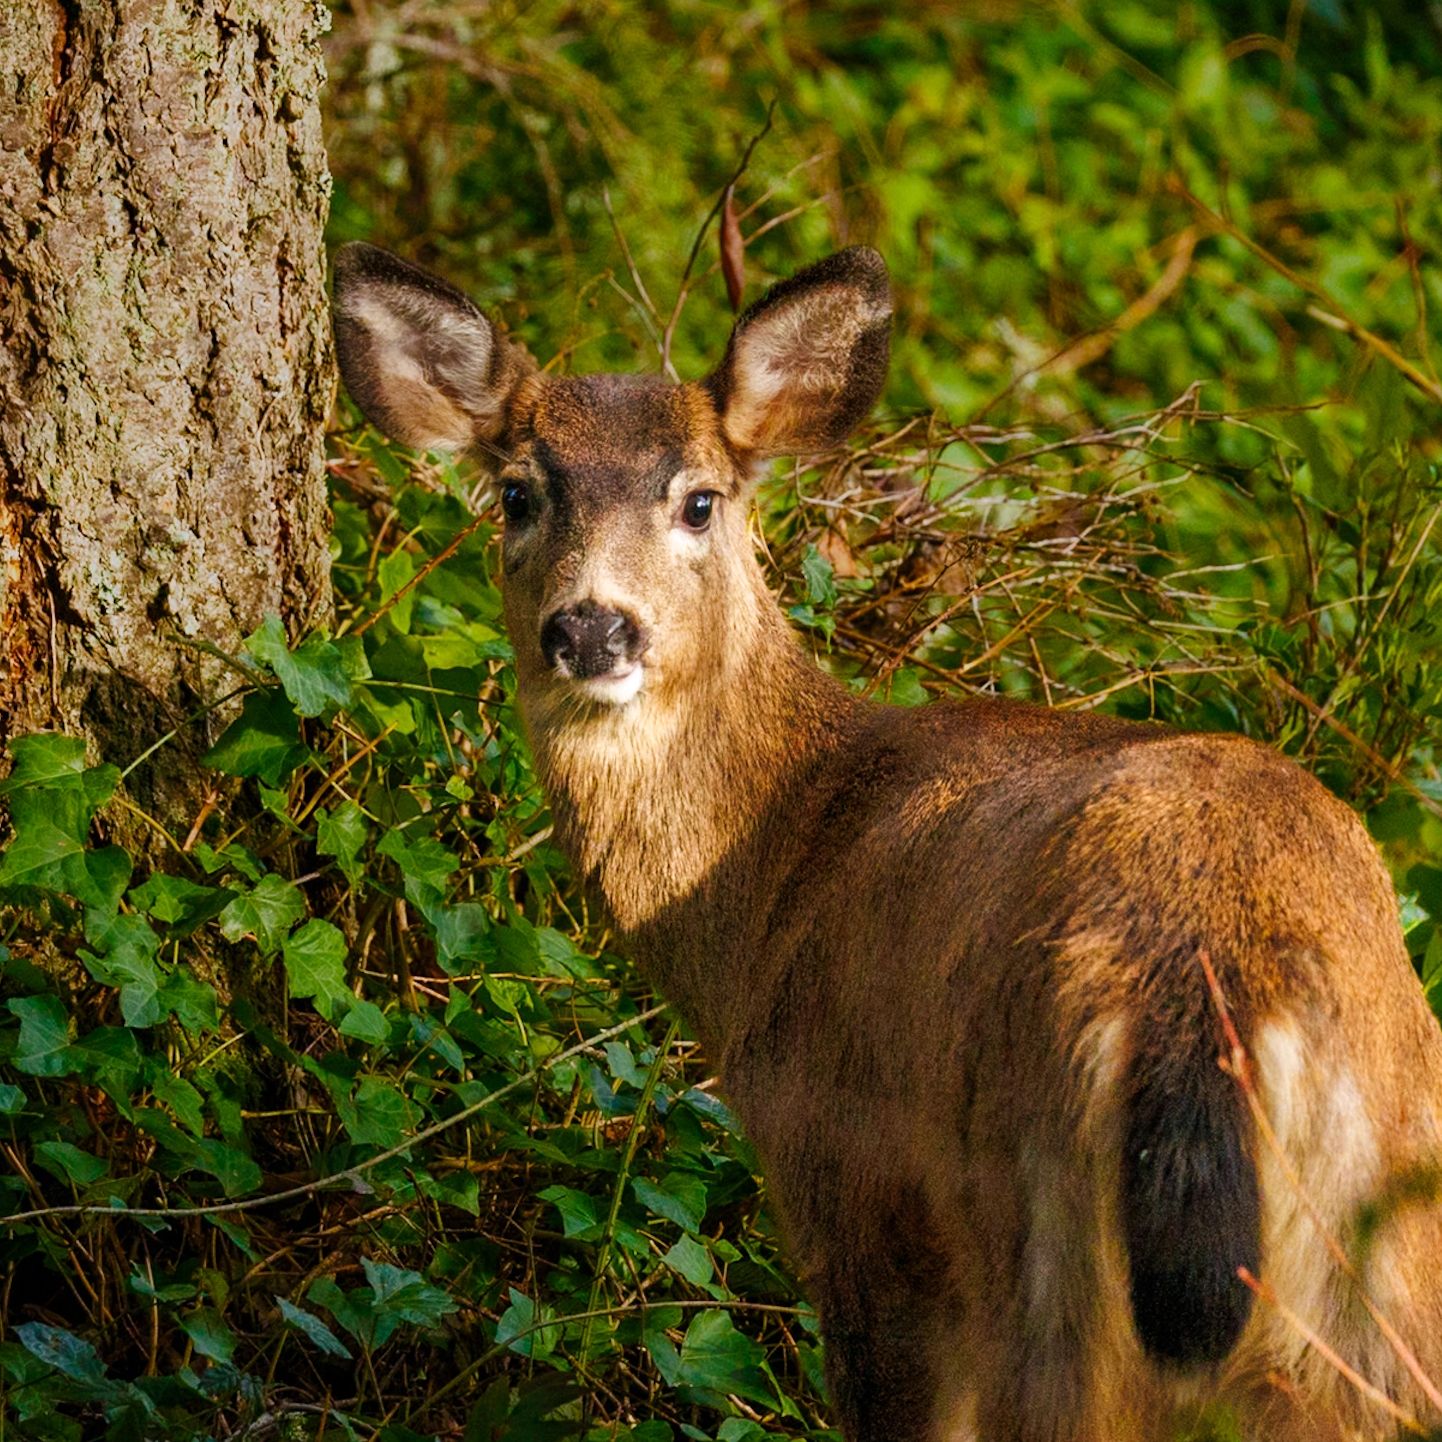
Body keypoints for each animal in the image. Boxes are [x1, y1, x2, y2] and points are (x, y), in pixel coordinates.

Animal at [332, 240, 1442, 1442]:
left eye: (699, 500)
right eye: (520, 492)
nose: (591, 628)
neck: (782, 858)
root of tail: (1216, 985)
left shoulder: (851, 1195)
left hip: (1038, 1246)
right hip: (1388, 1263)